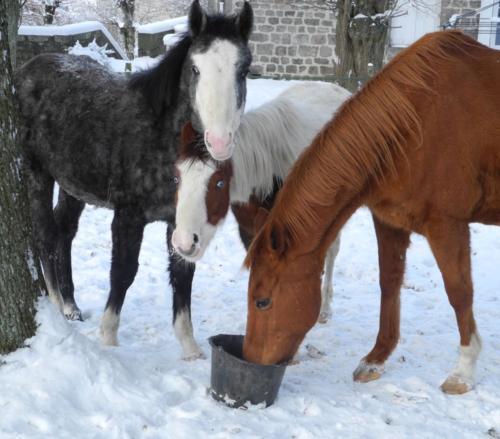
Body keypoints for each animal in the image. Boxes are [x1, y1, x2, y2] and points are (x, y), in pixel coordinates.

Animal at [16, 0, 254, 358]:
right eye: (195, 69)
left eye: (243, 70)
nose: (219, 142)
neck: (158, 134)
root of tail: (25, 70)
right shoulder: (129, 215)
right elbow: (123, 272)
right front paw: (108, 338)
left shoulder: (180, 221)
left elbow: (183, 275)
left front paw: (189, 348)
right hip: (38, 173)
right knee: (44, 234)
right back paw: (57, 306)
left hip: (74, 186)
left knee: (64, 232)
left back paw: (71, 306)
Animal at [170, 82, 350, 324]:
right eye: (177, 178)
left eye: (219, 182)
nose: (184, 243)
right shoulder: (251, 232)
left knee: (332, 252)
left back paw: (325, 308)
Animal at [240, 31, 500, 396]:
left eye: (262, 301)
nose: (250, 360)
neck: (415, 127)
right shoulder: (390, 221)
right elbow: (388, 283)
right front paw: (377, 358)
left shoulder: (447, 226)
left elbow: (459, 293)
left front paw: (463, 370)